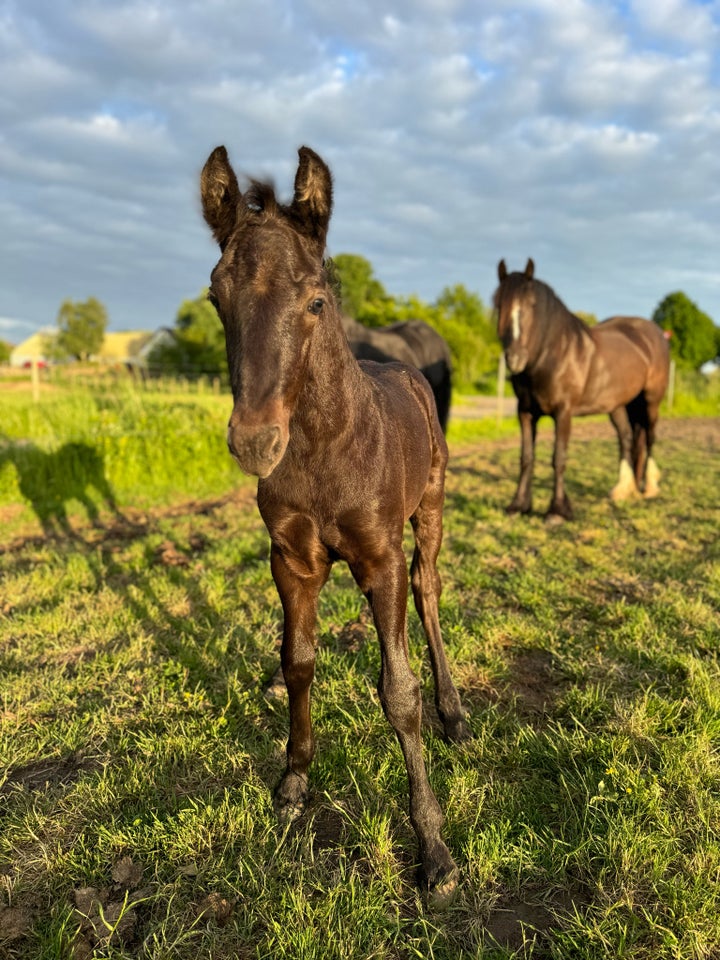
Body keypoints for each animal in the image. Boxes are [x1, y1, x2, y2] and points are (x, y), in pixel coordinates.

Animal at [200, 142, 470, 900]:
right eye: (216, 296)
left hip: (430, 508)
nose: (255, 442)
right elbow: (297, 662)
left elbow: (398, 693)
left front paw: (435, 850)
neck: (324, 447)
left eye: (316, 299)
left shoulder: (379, 559)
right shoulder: (291, 559)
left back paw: (455, 712)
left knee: (429, 588)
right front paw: (293, 782)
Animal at [496, 258, 668, 520]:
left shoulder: (563, 412)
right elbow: (526, 457)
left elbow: (559, 457)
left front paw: (557, 511)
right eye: (498, 304)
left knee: (649, 438)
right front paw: (518, 505)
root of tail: (654, 334)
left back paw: (648, 487)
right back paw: (623, 489)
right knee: (627, 438)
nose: (515, 358)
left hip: (651, 402)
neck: (554, 353)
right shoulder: (525, 412)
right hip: (618, 405)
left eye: (531, 305)